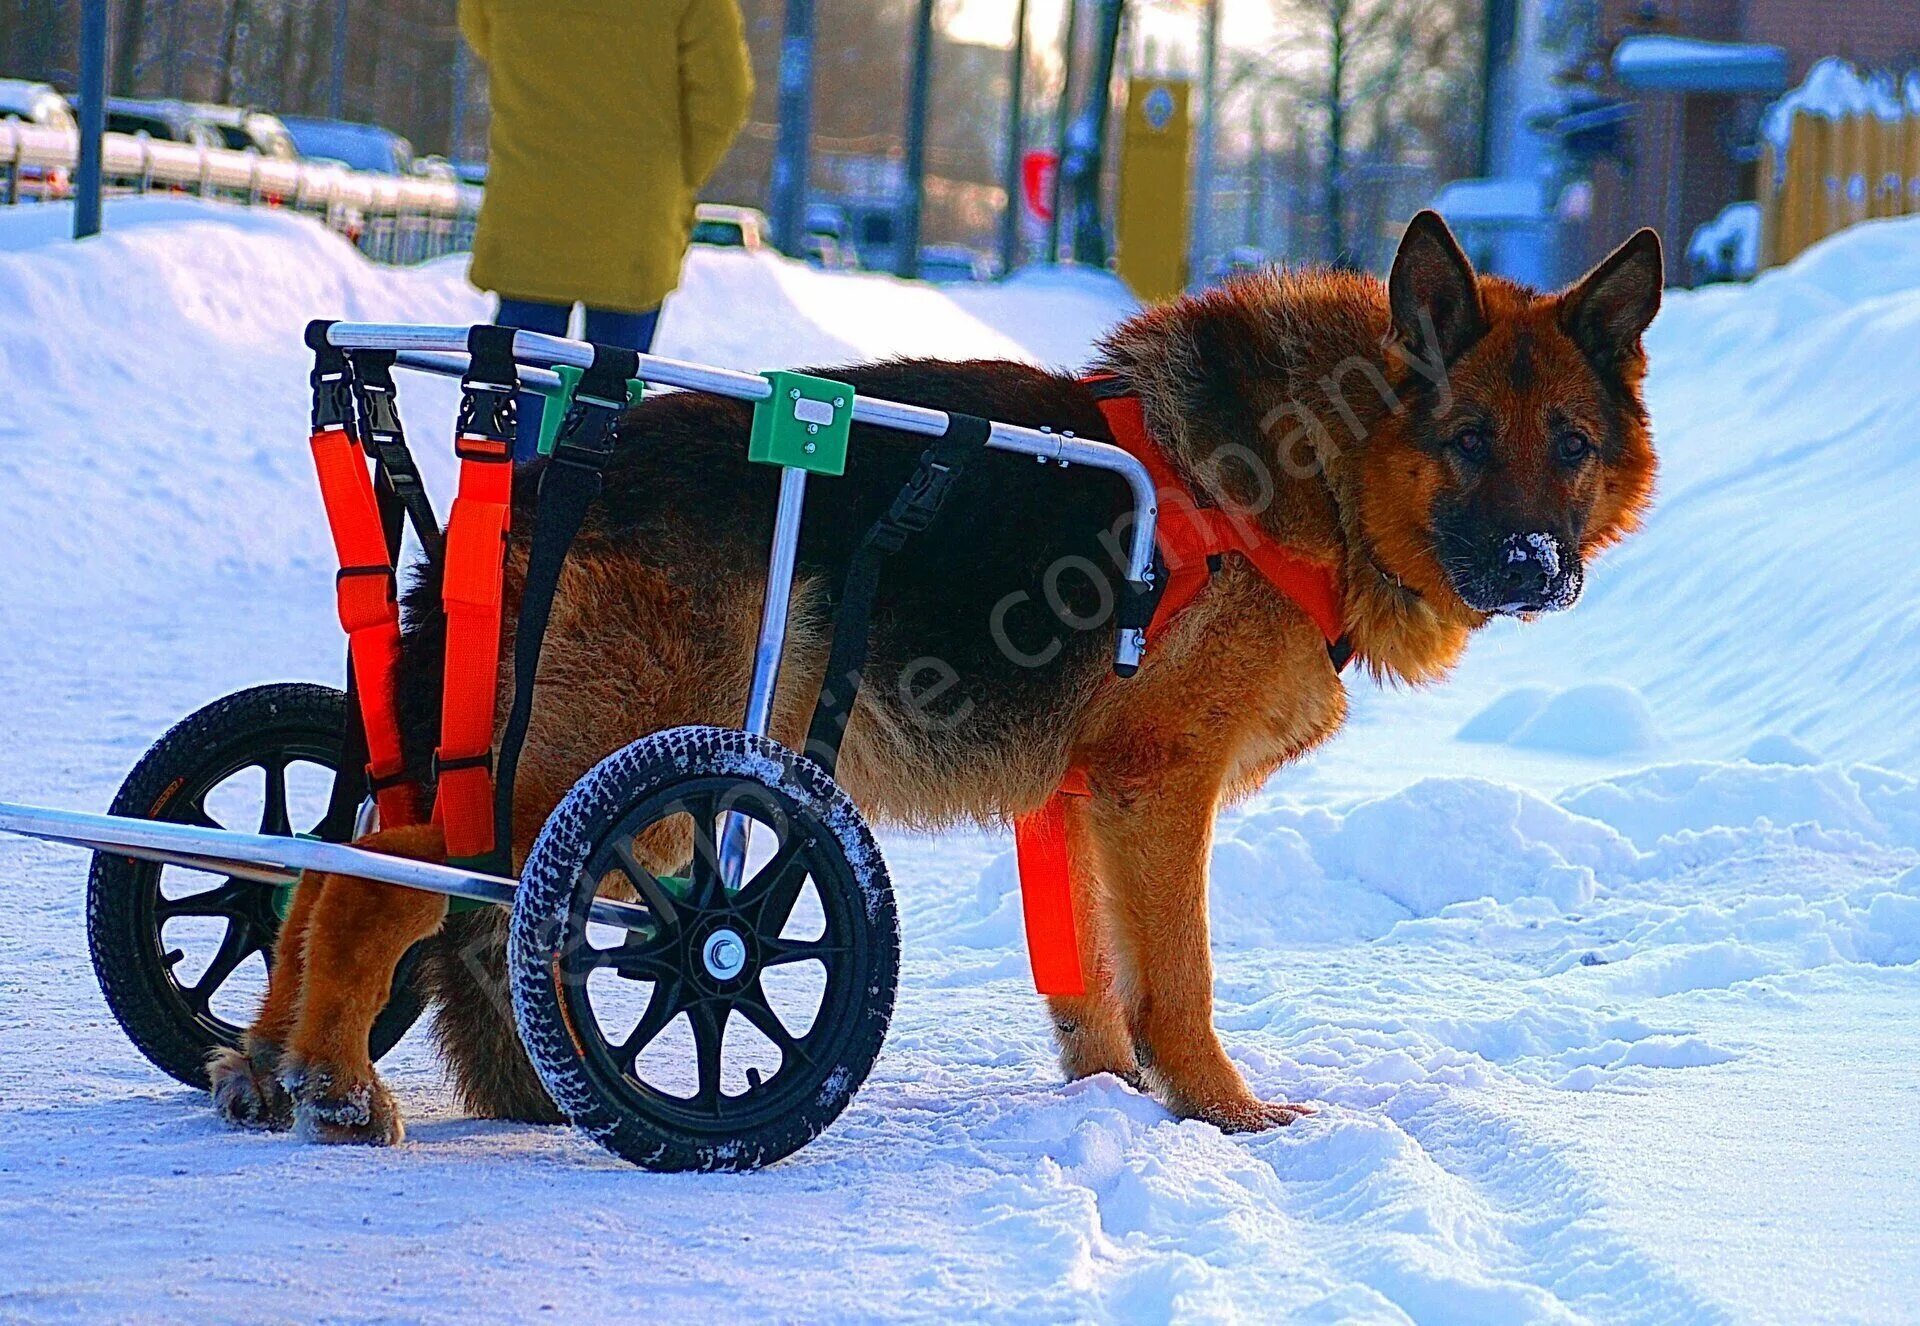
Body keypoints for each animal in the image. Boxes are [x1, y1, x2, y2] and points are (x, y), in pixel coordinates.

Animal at [202, 213, 1658, 1143]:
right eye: (1467, 442)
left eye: (1572, 444)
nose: (1536, 565)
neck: (1325, 468)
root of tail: (554, 468)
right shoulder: (1158, 791)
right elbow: (1178, 976)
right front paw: (1221, 1111)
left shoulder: (1083, 804)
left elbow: (1092, 979)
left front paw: (1110, 1094)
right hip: (610, 788)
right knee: (376, 878)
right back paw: (333, 1080)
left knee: (319, 866)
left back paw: (260, 1062)